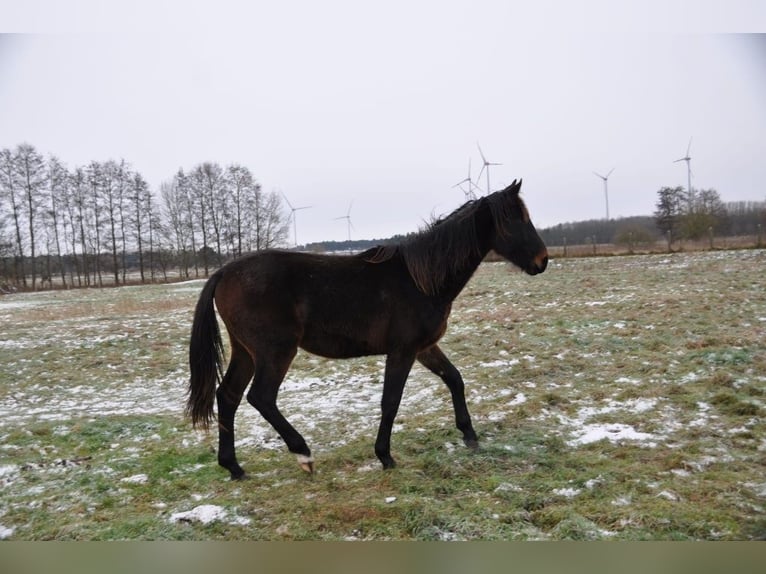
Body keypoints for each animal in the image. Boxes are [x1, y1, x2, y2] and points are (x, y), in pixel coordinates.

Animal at [188, 181, 548, 482]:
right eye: (516, 220)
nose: (542, 261)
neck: (422, 280)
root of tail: (223, 273)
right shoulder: (402, 351)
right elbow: (391, 401)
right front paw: (385, 456)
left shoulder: (425, 348)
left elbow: (454, 379)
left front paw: (470, 436)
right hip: (275, 351)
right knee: (261, 397)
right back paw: (303, 454)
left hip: (245, 351)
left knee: (228, 396)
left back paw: (234, 467)